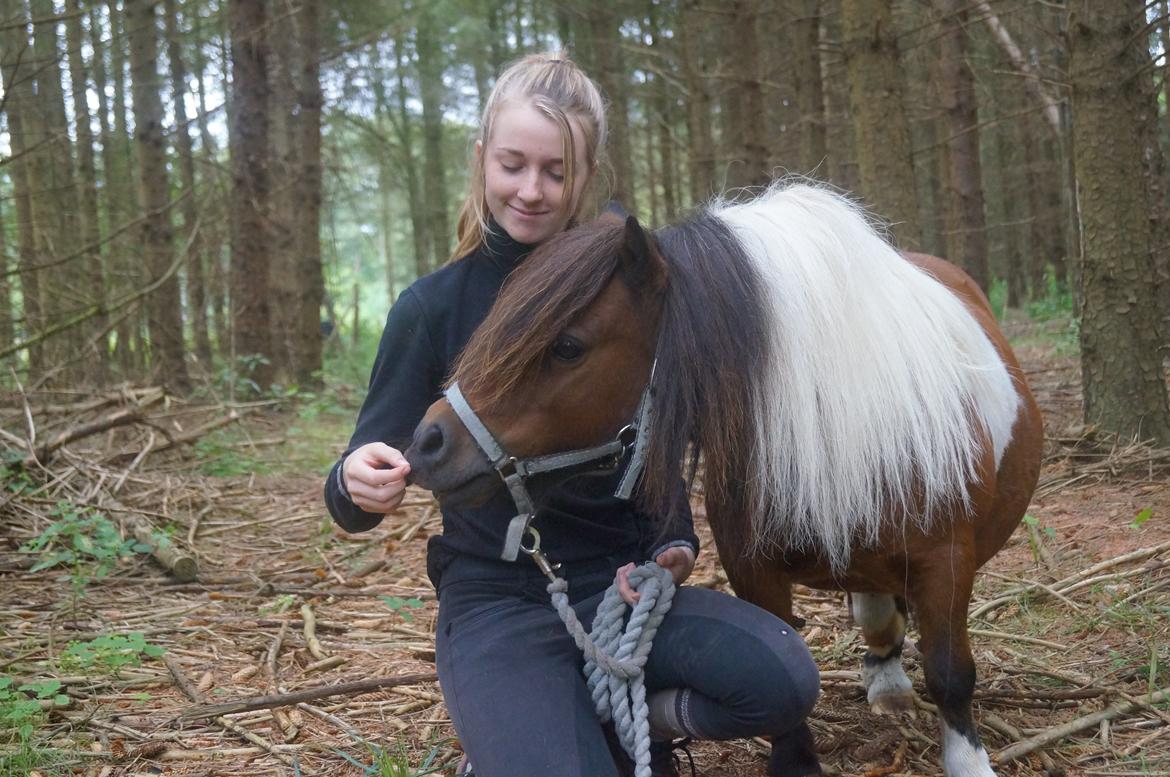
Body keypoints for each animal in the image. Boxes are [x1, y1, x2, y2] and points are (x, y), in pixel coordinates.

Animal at [404, 183, 1043, 777]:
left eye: (567, 347)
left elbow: (950, 672)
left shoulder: (946, 563)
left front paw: (968, 761)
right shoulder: (752, 568)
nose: (428, 443)